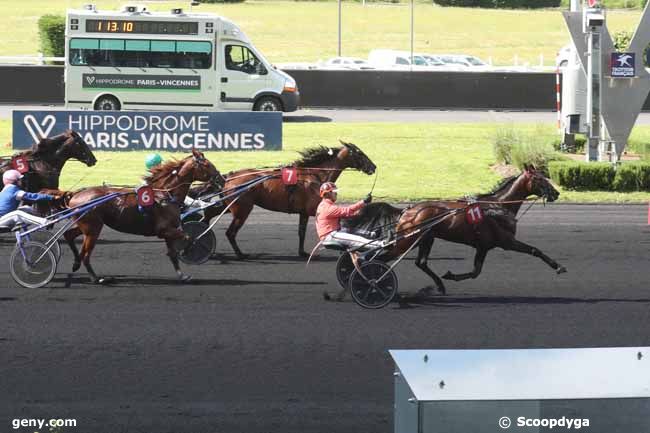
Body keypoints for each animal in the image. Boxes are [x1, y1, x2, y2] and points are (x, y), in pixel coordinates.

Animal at [63, 151, 224, 284]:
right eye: (207, 164)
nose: (221, 179)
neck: (165, 194)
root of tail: (76, 194)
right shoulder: (164, 230)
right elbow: (188, 236)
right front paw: (187, 250)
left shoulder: (169, 231)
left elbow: (173, 254)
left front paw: (182, 276)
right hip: (92, 228)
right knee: (85, 254)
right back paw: (96, 278)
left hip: (85, 225)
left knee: (69, 235)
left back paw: (76, 263)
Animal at [201, 141, 374, 256]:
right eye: (359, 153)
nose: (373, 167)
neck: (315, 174)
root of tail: (229, 177)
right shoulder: (314, 210)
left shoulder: (304, 212)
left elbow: (301, 232)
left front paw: (302, 252)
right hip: (242, 209)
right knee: (230, 232)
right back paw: (240, 254)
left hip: (229, 206)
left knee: (209, 215)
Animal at [332, 165, 564, 300]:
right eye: (541, 179)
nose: (557, 193)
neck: (497, 206)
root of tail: (408, 211)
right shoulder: (505, 241)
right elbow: (534, 250)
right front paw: (559, 266)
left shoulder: (483, 246)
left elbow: (476, 271)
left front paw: (450, 275)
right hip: (409, 240)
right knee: (379, 257)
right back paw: (364, 280)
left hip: (426, 238)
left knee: (420, 262)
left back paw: (439, 285)